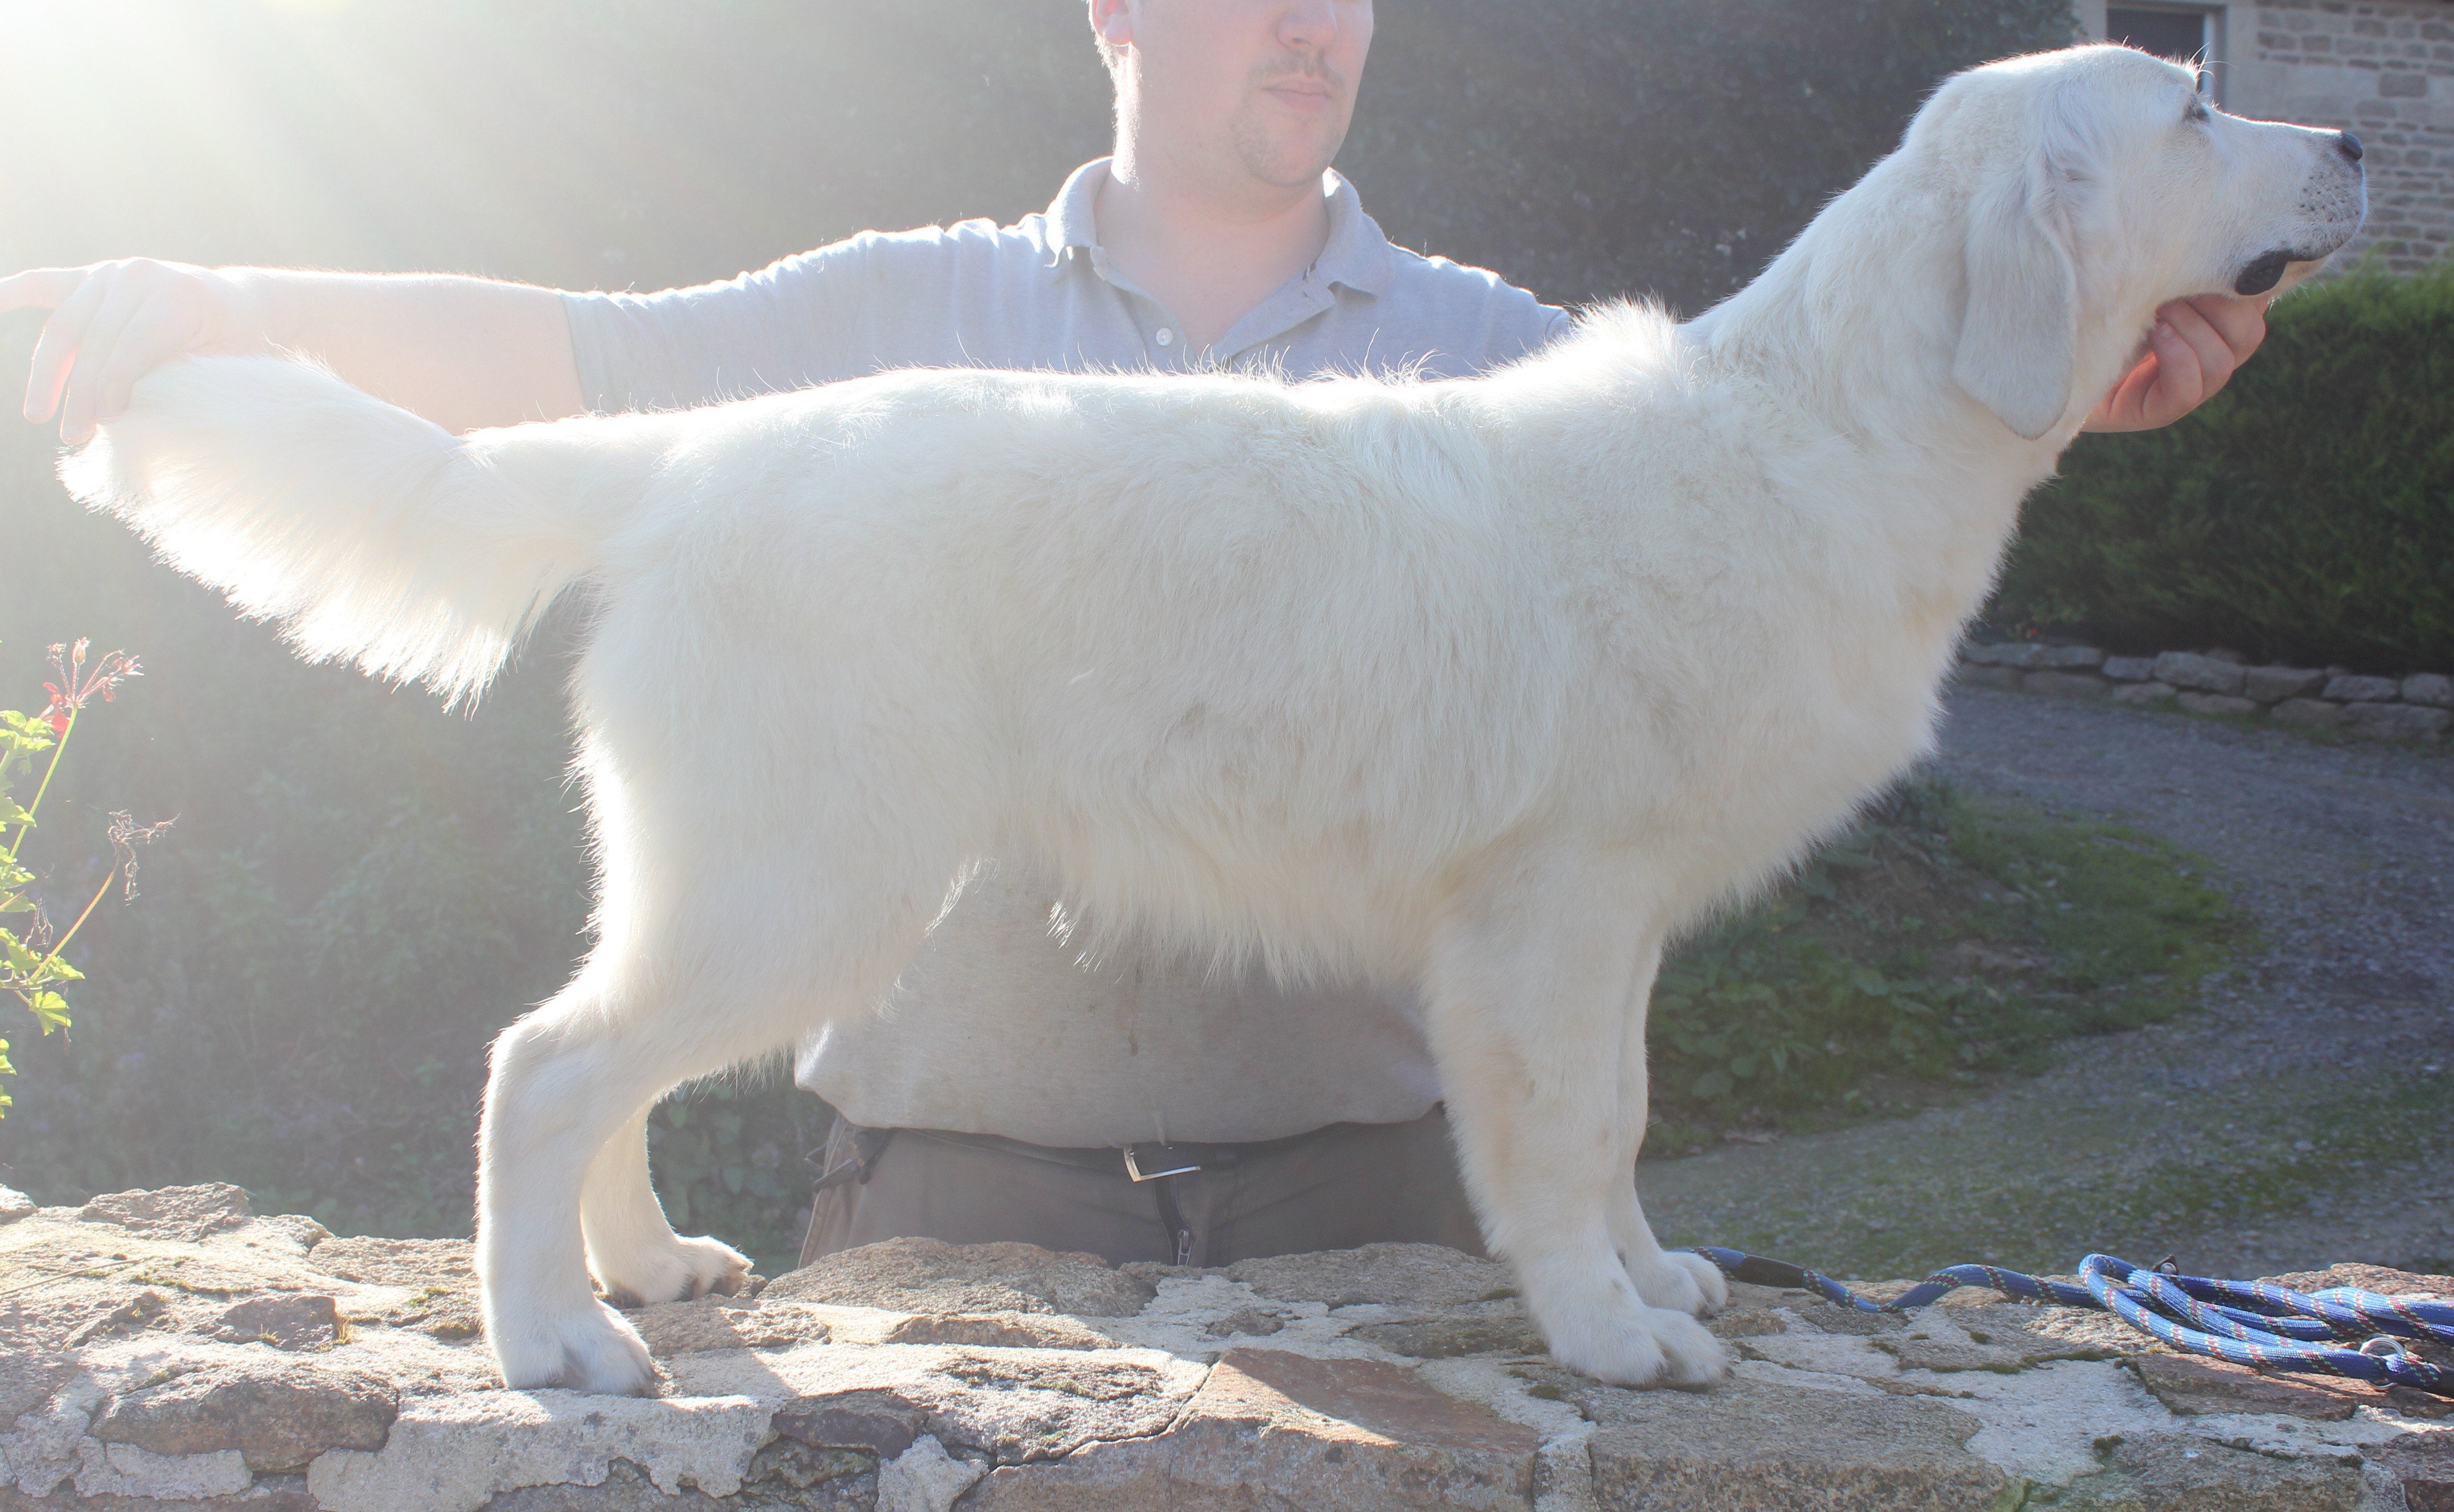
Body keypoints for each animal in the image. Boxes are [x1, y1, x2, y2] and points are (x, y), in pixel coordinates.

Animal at [62, 47, 2356, 1394]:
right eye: (2185, 107)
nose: (2344, 136)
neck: (1842, 422)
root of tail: (697, 449)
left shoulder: (1602, 928)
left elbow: (1622, 1125)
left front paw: (1654, 1282)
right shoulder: (1552, 908)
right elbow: (1569, 1135)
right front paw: (1609, 1332)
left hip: (728, 867)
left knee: (592, 1057)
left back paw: (644, 1272)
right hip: (809, 877)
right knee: (544, 1063)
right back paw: (552, 1341)